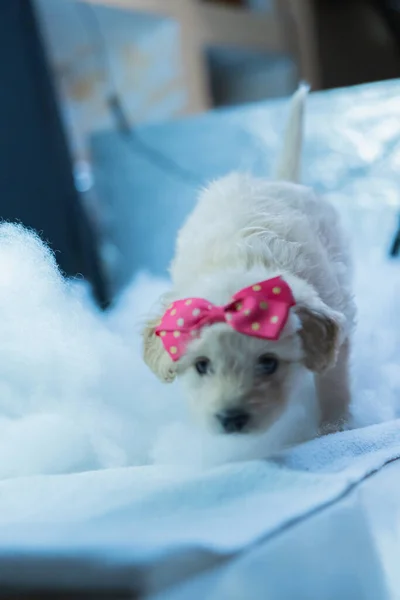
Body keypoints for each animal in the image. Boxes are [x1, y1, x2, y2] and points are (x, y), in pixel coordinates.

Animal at [142, 85, 354, 436]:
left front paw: (336, 427)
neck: (242, 258)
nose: (230, 419)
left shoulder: (336, 309)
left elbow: (333, 378)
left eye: (268, 363)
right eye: (202, 366)